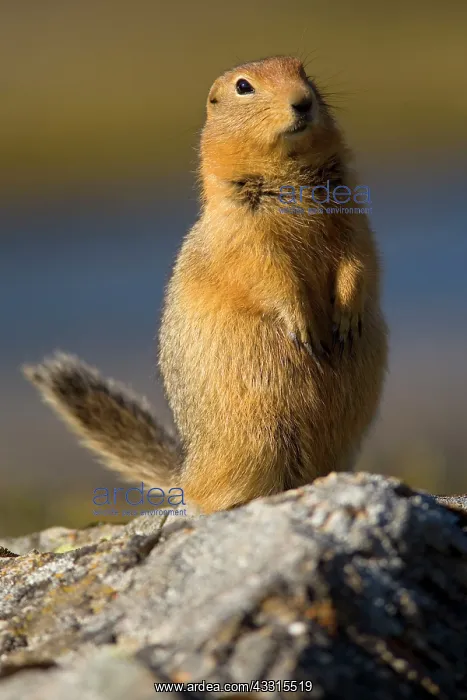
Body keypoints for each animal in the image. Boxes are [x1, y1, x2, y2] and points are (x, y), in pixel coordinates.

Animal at [24, 56, 388, 514]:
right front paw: (303, 324)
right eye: (243, 86)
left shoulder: (355, 214)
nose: (302, 101)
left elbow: (359, 258)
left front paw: (347, 315)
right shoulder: (243, 234)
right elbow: (269, 273)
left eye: (303, 70)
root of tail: (185, 472)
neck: (288, 173)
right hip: (256, 442)